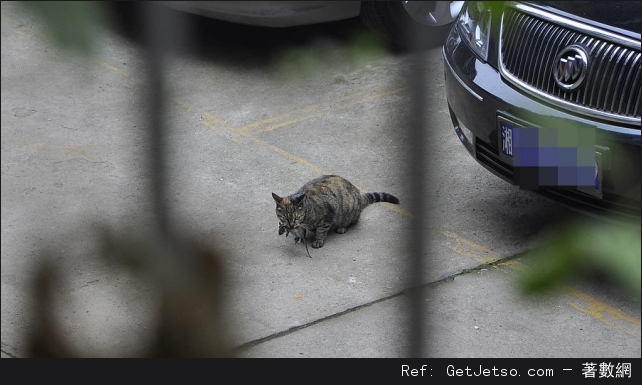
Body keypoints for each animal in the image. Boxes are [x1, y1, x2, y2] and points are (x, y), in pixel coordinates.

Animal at [272, 174, 400, 249]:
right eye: (284, 218)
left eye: (296, 217)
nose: (291, 226)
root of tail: (359, 196)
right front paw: (299, 236)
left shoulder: (327, 217)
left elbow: (321, 231)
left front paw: (318, 240)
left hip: (349, 209)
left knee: (353, 220)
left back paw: (342, 227)